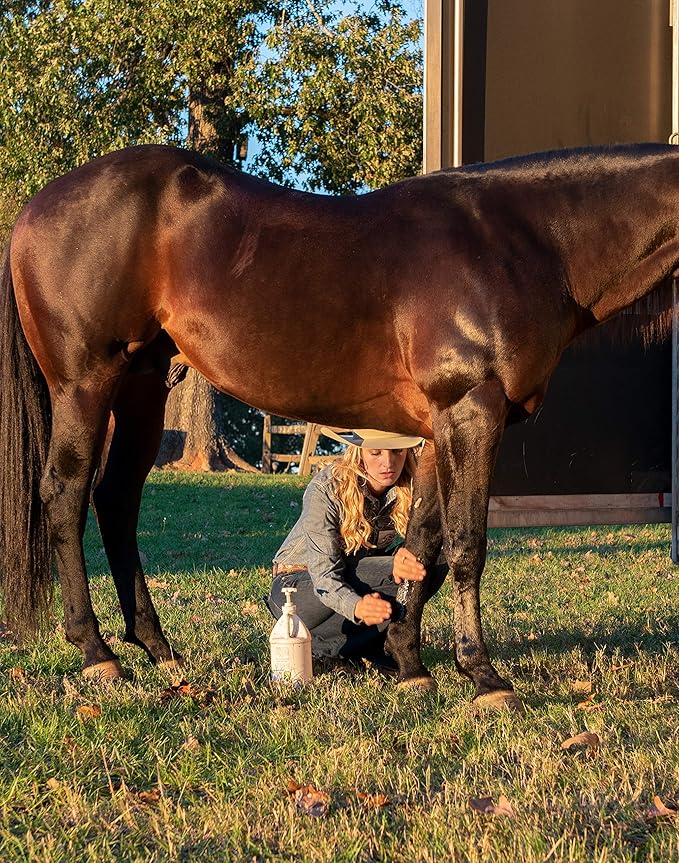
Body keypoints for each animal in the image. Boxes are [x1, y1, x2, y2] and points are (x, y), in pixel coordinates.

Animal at [1, 142, 679, 712]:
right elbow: (467, 545)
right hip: (85, 385)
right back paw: (97, 654)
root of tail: (37, 206)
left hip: (143, 387)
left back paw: (159, 649)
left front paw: (409, 663)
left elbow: (421, 548)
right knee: (65, 495)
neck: (526, 242)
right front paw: (484, 677)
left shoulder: (436, 430)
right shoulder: (471, 412)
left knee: (117, 499)